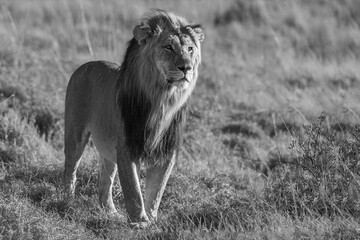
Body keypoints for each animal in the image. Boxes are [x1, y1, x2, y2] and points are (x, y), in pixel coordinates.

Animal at [63, 8, 204, 227]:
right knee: (70, 167)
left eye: (190, 49)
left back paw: (111, 213)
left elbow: (156, 192)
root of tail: (86, 65)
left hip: (107, 150)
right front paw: (139, 223)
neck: (162, 101)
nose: (186, 68)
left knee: (105, 182)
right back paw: (66, 200)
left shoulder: (167, 152)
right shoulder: (127, 146)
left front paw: (152, 220)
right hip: (75, 134)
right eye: (168, 47)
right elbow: (133, 190)